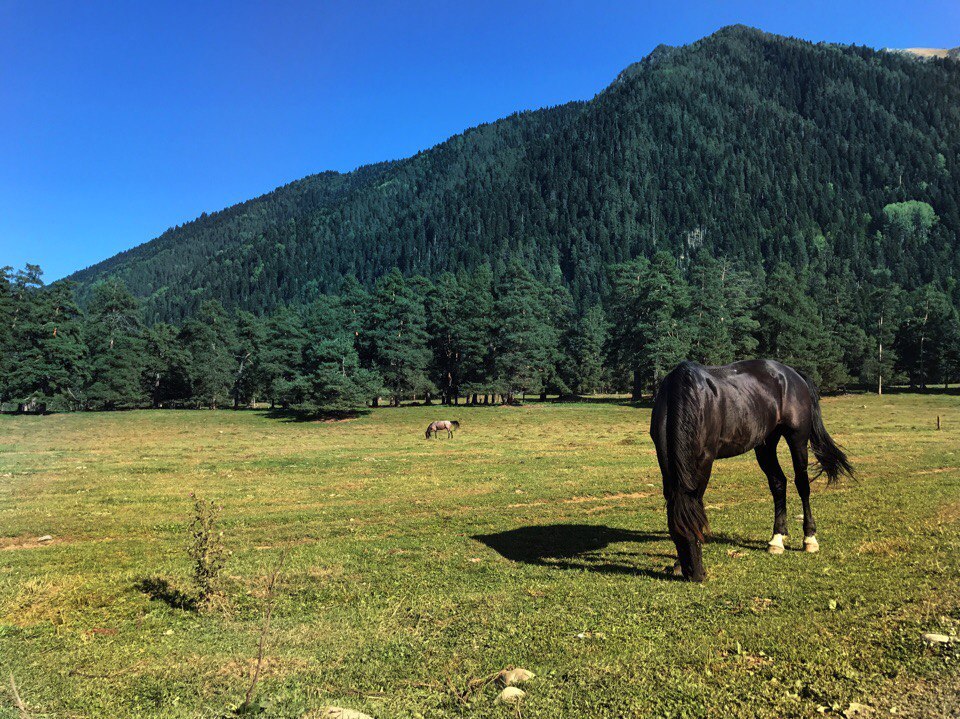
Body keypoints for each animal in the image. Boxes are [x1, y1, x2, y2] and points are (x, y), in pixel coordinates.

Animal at [648, 358, 852, 584]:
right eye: (676, 534)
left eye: (698, 530)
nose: (696, 575)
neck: (687, 395)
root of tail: (792, 374)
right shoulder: (663, 455)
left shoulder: (706, 457)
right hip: (765, 443)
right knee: (778, 483)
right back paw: (777, 539)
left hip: (797, 438)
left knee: (802, 484)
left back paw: (809, 539)